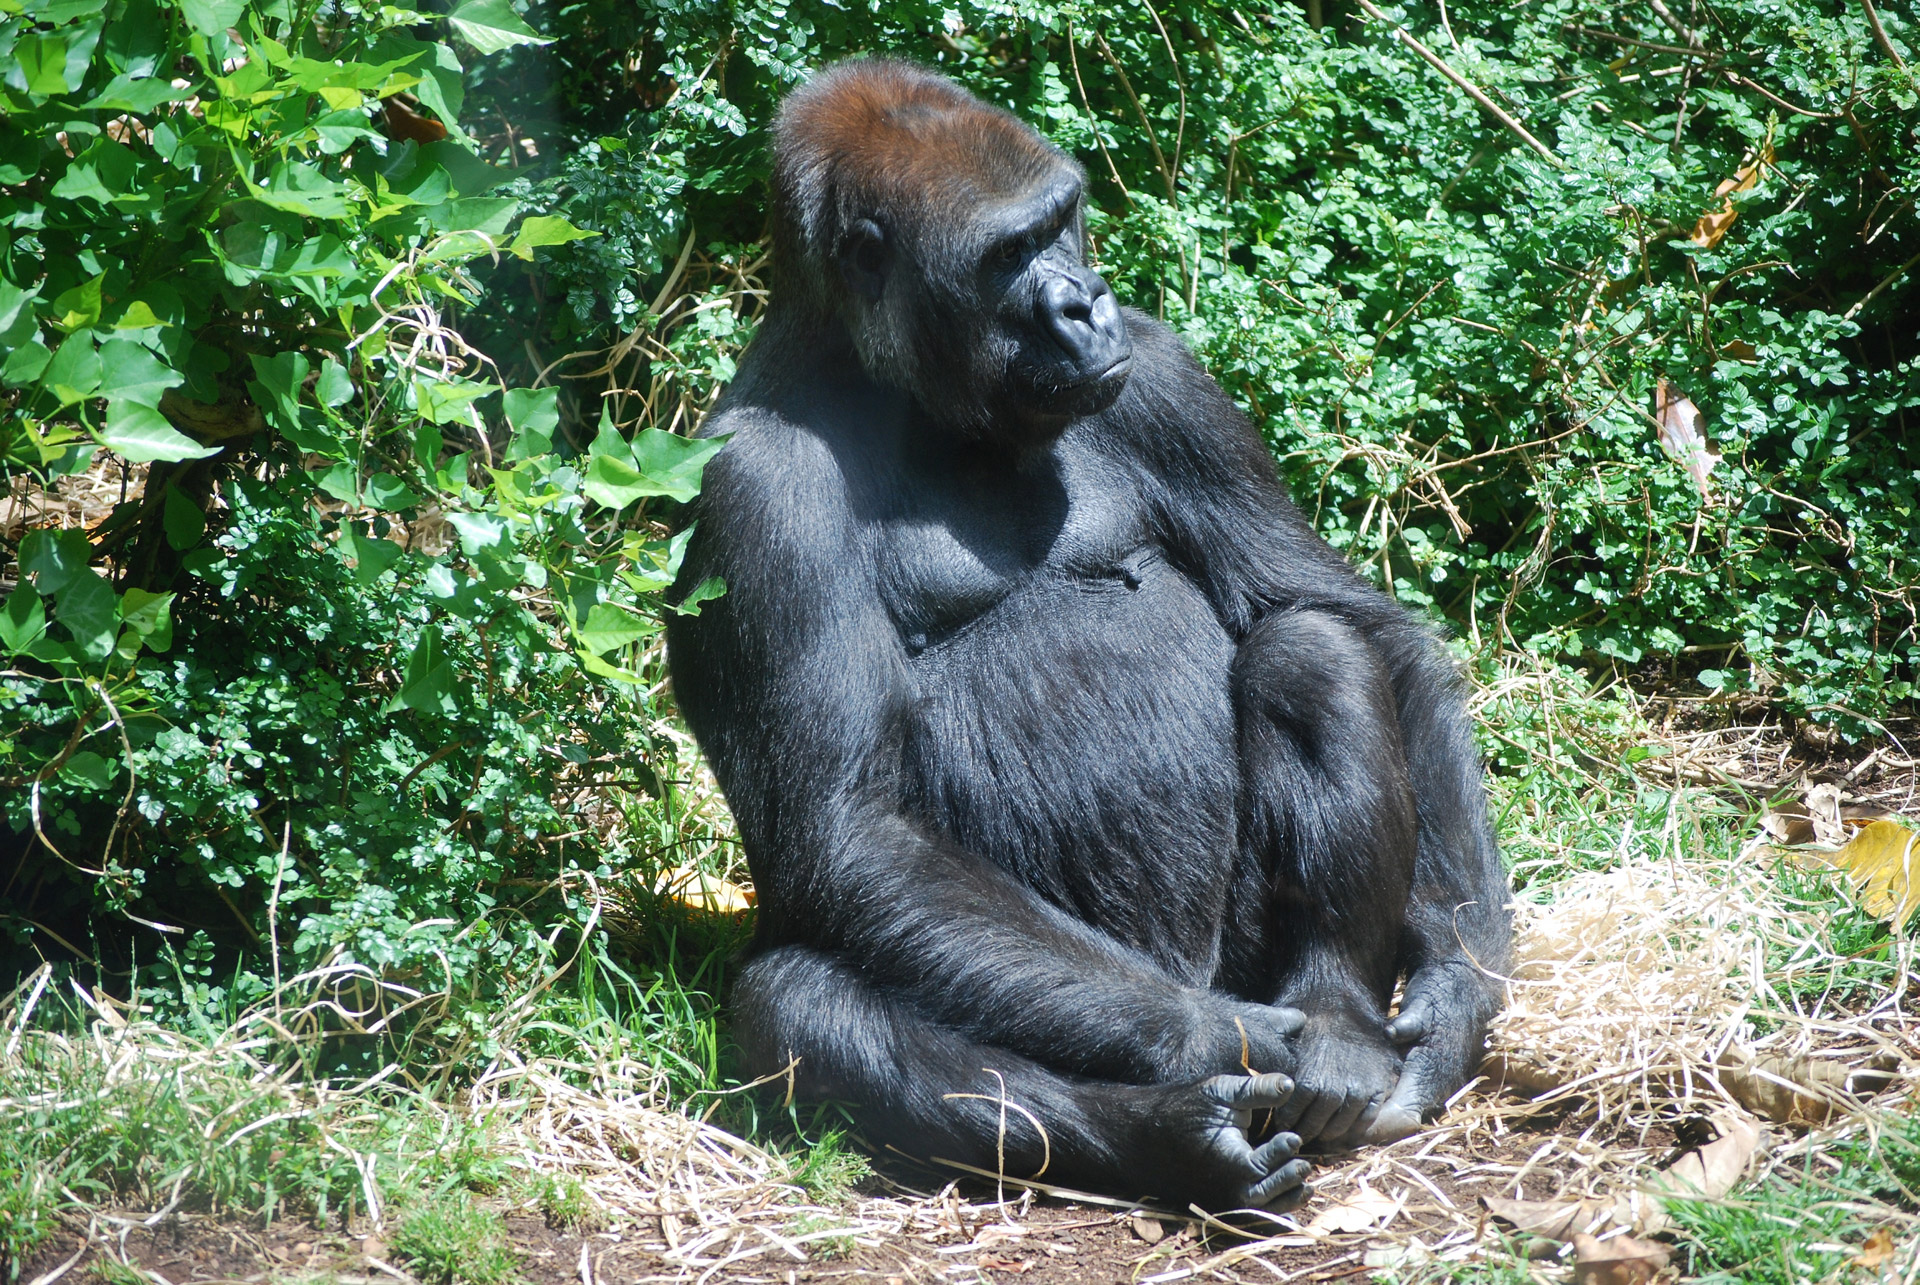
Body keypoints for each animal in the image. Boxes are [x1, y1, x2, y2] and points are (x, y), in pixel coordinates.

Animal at [672, 57, 1512, 1206]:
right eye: (1007, 255)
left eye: (1062, 223)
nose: (1083, 302)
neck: (896, 386)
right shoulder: (754, 490)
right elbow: (851, 825)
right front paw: (1226, 1041)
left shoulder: (1160, 373)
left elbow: (1350, 620)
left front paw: (1458, 982)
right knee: (799, 1004)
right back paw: (1180, 1132)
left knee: (1310, 651)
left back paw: (1336, 1020)